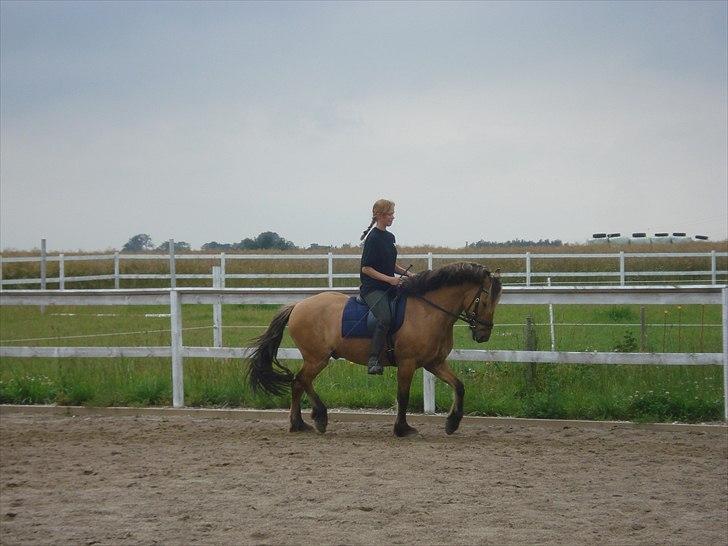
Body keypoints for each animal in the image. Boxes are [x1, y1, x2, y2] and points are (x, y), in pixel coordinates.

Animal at [245, 262, 500, 436]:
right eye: (486, 301)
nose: (484, 335)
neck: (428, 312)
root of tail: (298, 305)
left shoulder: (434, 363)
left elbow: (459, 386)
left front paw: (452, 422)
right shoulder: (407, 364)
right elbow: (403, 396)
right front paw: (402, 429)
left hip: (316, 358)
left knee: (299, 383)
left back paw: (300, 423)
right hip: (317, 358)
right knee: (301, 381)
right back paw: (317, 418)